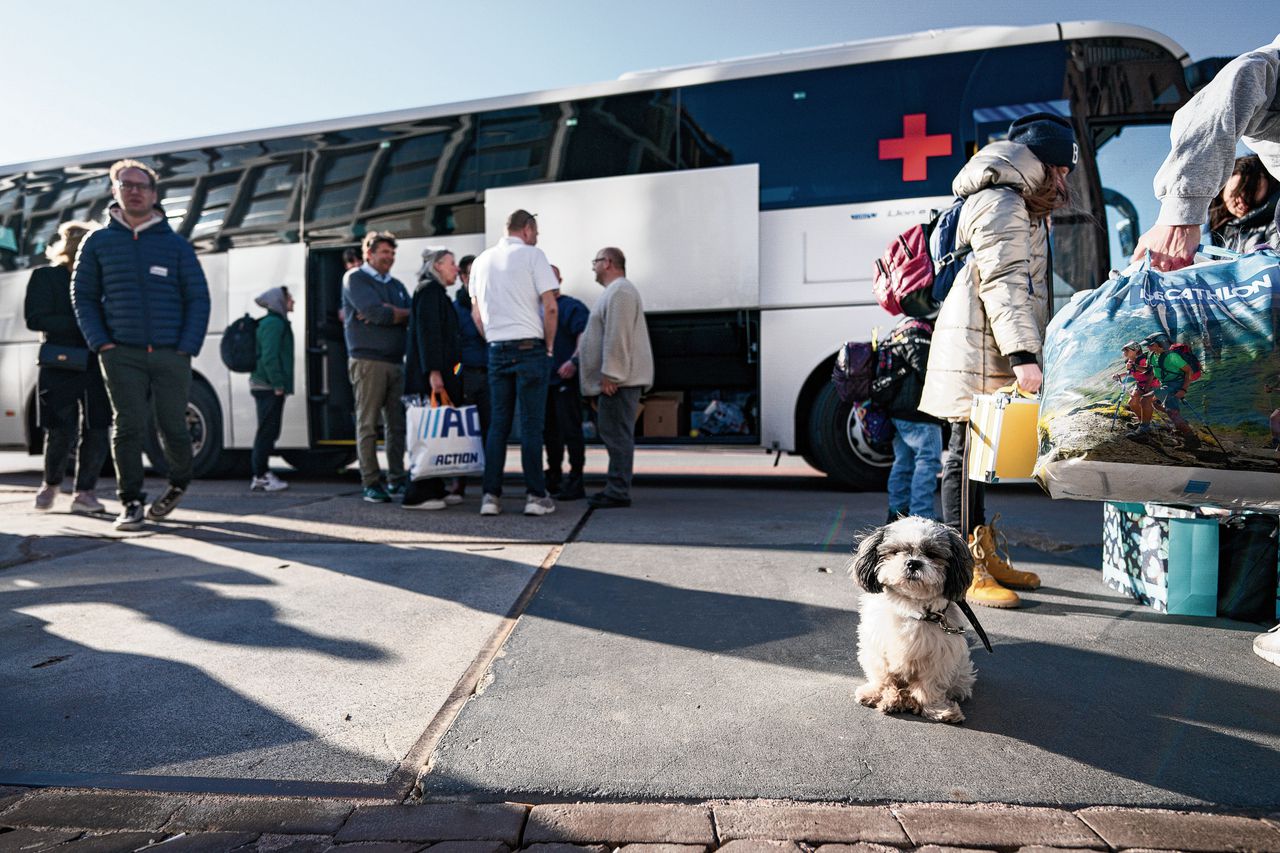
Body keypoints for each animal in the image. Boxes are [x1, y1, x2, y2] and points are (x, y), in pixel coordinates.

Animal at [849, 514, 977, 722]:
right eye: (897, 551)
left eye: (932, 554)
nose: (913, 562)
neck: (910, 606)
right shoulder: (877, 648)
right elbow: (883, 677)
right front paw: (877, 693)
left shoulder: (940, 656)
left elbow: (930, 687)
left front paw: (937, 709)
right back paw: (893, 700)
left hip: (961, 671)